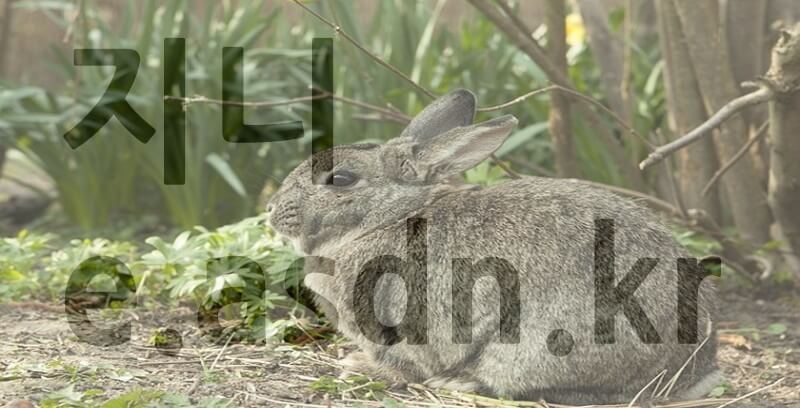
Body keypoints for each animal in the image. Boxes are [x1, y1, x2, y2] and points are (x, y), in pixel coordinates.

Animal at [266, 89, 721, 405]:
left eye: (341, 179)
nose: (272, 210)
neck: (389, 216)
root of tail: (693, 370)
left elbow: (404, 365)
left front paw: (359, 368)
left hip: (539, 347)